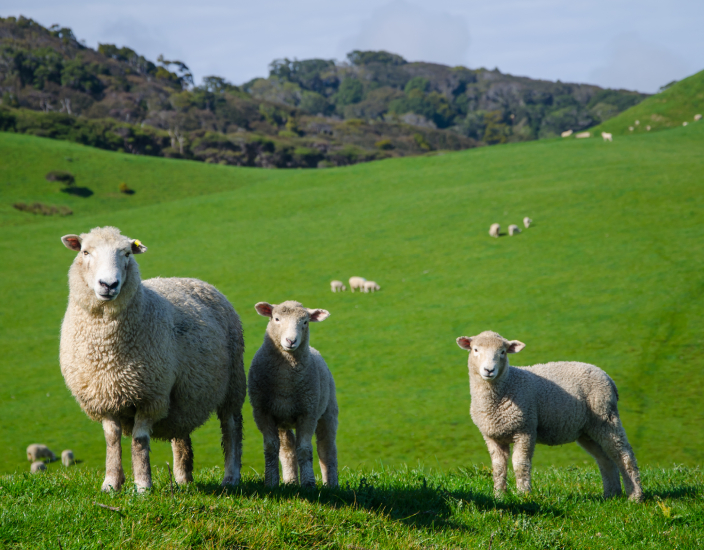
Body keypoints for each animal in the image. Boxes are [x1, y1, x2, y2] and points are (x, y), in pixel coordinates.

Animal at [60, 226, 248, 494]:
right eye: (85, 252)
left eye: (127, 253)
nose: (109, 284)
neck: (107, 351)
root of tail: (197, 281)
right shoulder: (103, 397)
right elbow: (111, 439)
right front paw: (111, 483)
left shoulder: (150, 395)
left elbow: (139, 441)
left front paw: (142, 486)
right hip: (183, 396)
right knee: (181, 435)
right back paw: (182, 479)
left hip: (233, 383)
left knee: (231, 428)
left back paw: (231, 477)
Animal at [249, 302, 340, 488]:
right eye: (276, 319)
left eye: (305, 322)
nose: (291, 341)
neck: (285, 383)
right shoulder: (262, 412)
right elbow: (271, 448)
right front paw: (270, 482)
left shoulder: (308, 413)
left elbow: (304, 449)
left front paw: (308, 484)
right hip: (283, 420)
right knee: (287, 449)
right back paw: (290, 481)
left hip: (328, 412)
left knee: (326, 449)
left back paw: (331, 484)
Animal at [456, 332, 644, 504]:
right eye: (475, 350)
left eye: (502, 352)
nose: (489, 370)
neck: (507, 384)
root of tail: (608, 377)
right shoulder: (492, 436)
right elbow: (498, 468)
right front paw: (499, 497)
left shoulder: (525, 429)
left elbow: (520, 464)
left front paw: (524, 495)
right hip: (588, 430)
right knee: (605, 459)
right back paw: (610, 495)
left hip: (605, 417)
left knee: (624, 455)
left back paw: (635, 496)